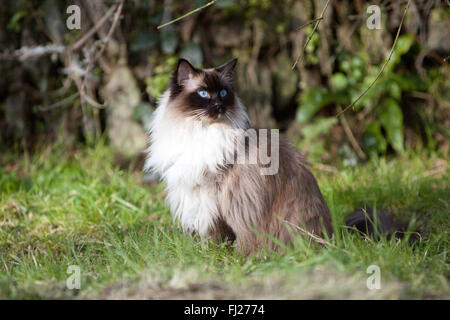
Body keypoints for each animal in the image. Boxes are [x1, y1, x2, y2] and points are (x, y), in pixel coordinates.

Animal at [145, 56, 334, 254]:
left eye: (222, 93)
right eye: (203, 93)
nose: (219, 106)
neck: (201, 130)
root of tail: (325, 241)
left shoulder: (210, 199)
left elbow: (216, 234)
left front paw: (214, 254)